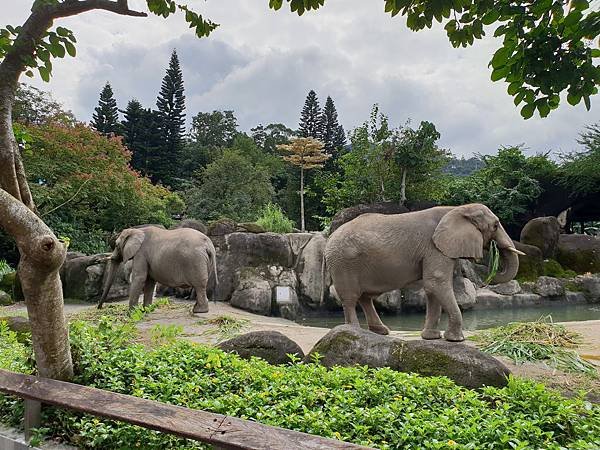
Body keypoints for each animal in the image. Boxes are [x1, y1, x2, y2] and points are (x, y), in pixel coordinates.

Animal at [324, 203, 524, 342]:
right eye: (496, 225)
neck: (456, 209)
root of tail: (330, 237)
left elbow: (432, 288)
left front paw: (431, 337)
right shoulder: (434, 247)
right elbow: (436, 282)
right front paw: (456, 340)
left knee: (366, 297)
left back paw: (380, 331)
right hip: (344, 262)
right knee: (351, 298)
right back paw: (353, 331)